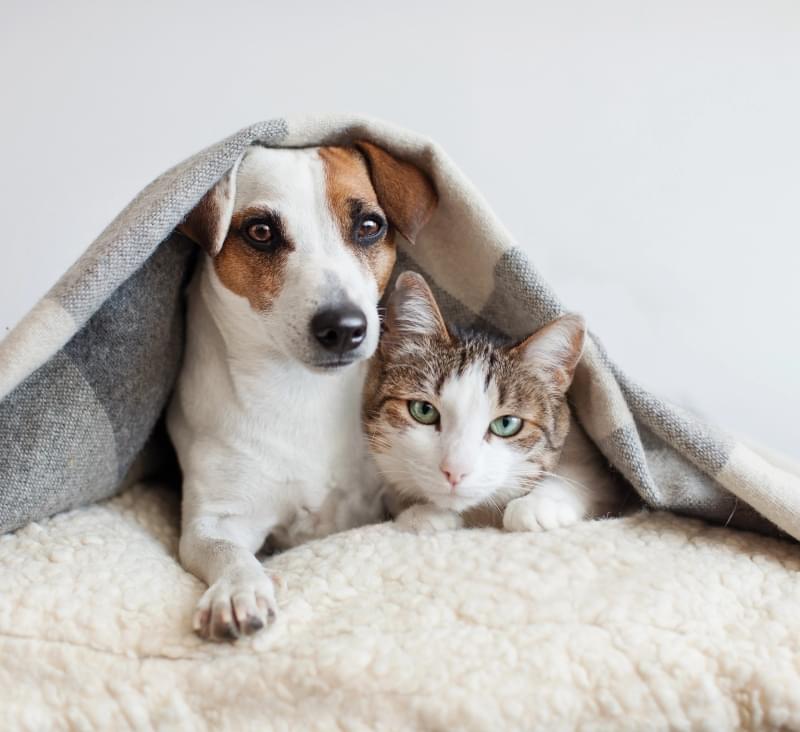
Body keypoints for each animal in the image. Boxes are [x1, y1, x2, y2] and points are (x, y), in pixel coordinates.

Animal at [168, 139, 438, 640]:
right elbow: (226, 552)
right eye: (260, 232)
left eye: (369, 226)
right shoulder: (214, 520)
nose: (344, 327)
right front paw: (237, 590)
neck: (302, 392)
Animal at [364, 272, 624, 536]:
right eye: (423, 410)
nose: (455, 471)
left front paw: (538, 504)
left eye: (507, 424)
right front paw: (423, 513)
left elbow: (583, 475)